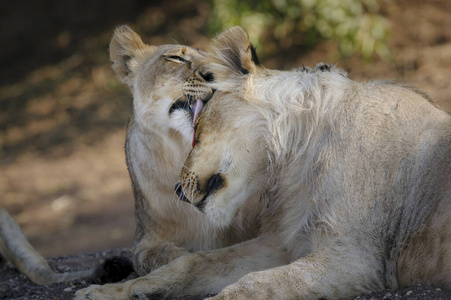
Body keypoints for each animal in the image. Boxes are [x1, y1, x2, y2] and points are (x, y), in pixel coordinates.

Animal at [76, 26, 450, 300]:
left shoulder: (355, 256)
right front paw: (110, 291)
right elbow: (193, 262)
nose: (178, 191)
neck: (294, 159)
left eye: (196, 131)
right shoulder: (287, 241)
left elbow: (250, 285)